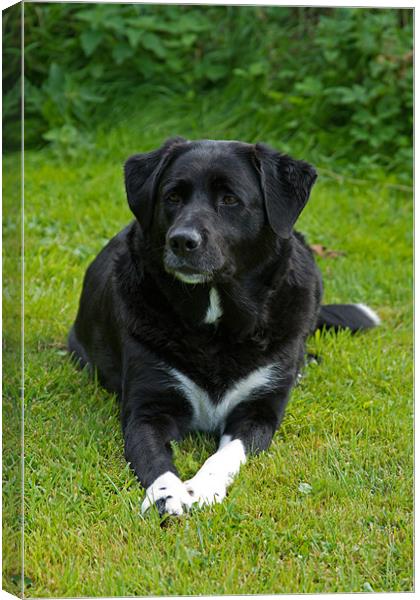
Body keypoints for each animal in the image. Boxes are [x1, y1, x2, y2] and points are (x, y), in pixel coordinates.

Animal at [68, 137, 378, 516]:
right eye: (172, 196)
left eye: (230, 199)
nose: (181, 240)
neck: (215, 323)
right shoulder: (147, 408)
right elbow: (153, 457)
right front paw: (167, 494)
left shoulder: (259, 413)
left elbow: (227, 455)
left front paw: (201, 487)